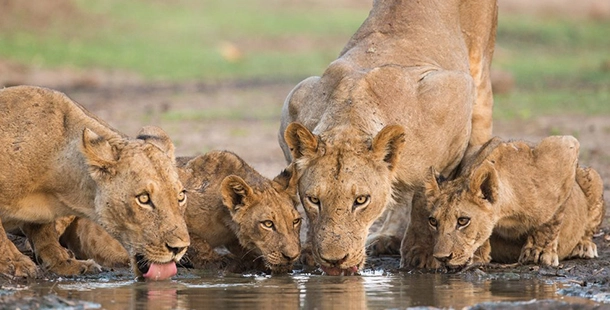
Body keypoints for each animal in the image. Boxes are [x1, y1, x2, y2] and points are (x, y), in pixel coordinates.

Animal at [0, 84, 189, 278]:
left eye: (181, 196)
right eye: (143, 198)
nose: (179, 248)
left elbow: (44, 232)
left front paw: (64, 262)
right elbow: (1, 236)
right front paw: (15, 262)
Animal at [278, 0, 496, 274]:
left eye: (361, 200)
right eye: (314, 199)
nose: (334, 261)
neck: (350, 114)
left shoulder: (454, 91)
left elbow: (425, 197)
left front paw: (422, 253)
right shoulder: (297, 100)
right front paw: (308, 249)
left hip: (480, 72)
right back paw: (388, 237)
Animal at [410, 136, 604, 268]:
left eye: (463, 221)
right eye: (433, 221)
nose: (441, 258)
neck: (506, 214)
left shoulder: (565, 148)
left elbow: (552, 218)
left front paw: (539, 251)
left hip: (591, 176)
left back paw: (584, 246)